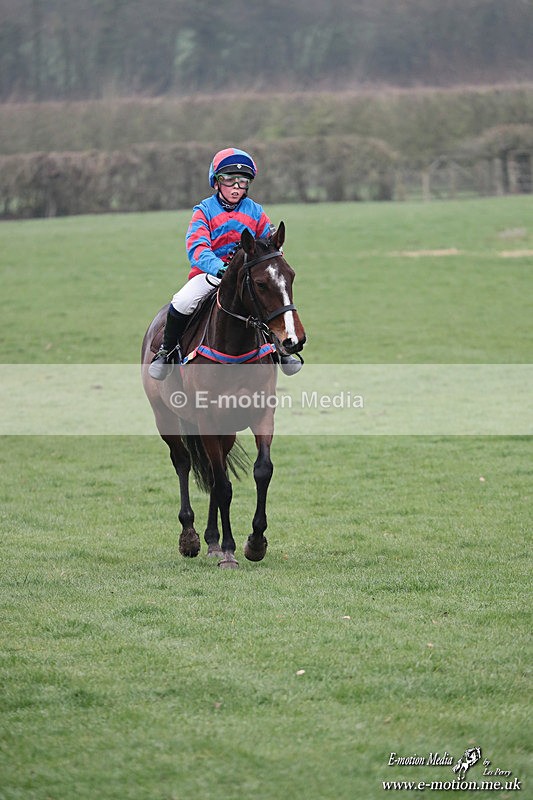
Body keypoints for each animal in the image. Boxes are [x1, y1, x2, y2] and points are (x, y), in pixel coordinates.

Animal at [141, 222, 306, 568]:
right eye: (261, 283)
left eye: (291, 275)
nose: (293, 340)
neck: (234, 347)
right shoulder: (206, 420)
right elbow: (222, 484)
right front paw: (229, 550)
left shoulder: (261, 414)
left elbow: (261, 471)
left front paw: (255, 542)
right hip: (166, 418)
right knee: (183, 463)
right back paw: (190, 538)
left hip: (226, 430)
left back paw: (212, 540)